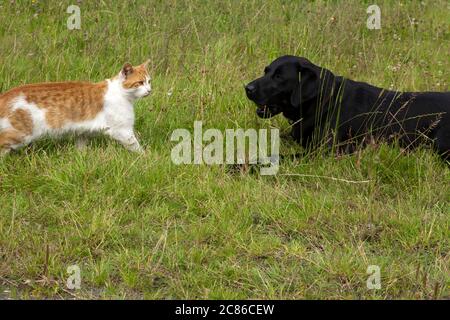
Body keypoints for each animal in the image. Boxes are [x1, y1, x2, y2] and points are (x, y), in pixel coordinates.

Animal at [0, 60, 152, 156]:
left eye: (149, 81)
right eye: (140, 83)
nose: (150, 90)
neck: (121, 93)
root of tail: (5, 95)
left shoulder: (82, 133)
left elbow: (81, 149)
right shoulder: (123, 131)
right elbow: (137, 148)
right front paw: (146, 158)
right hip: (21, 135)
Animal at [246, 55, 450, 160]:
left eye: (279, 77)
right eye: (266, 71)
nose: (247, 88)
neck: (325, 102)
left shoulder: (325, 152)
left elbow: (274, 158)